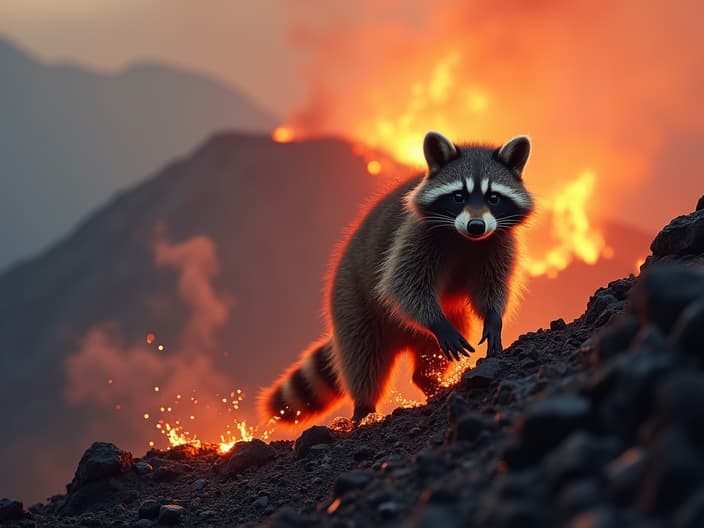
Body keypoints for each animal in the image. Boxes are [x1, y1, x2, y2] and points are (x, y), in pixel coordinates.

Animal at [262, 132, 532, 424]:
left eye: (494, 198)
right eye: (458, 196)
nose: (476, 226)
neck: (465, 239)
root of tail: (402, 337)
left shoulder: (498, 243)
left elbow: (493, 286)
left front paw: (493, 318)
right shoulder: (413, 235)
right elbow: (401, 286)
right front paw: (437, 321)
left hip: (440, 318)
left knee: (435, 348)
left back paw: (430, 381)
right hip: (353, 302)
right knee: (363, 357)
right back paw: (364, 407)